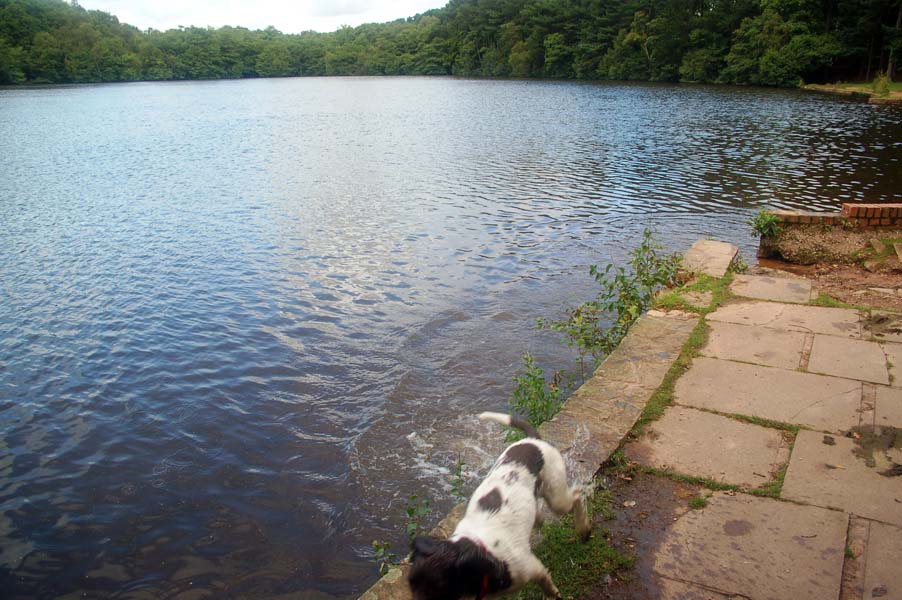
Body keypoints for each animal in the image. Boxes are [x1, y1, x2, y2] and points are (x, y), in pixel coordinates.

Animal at [406, 412, 588, 600]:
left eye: (439, 587)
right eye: (411, 583)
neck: (484, 552)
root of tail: (532, 440)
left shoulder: (533, 568)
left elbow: (549, 587)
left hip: (556, 497)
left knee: (578, 494)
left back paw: (584, 529)